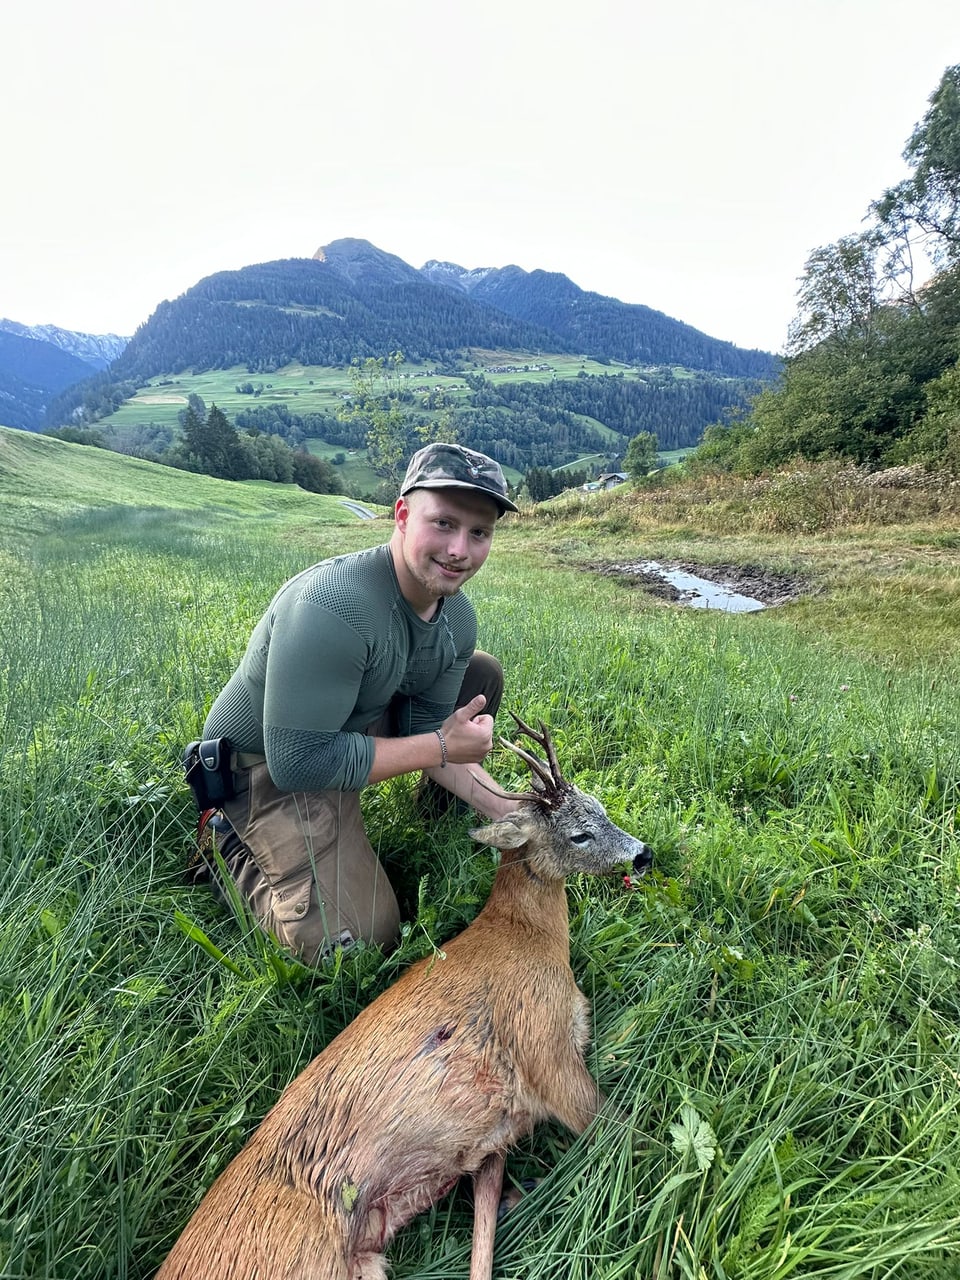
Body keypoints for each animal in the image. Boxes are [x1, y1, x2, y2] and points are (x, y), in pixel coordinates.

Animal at [158, 716, 655, 1280]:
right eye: (579, 833)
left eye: (601, 807)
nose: (644, 853)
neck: (526, 934)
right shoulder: (541, 1044)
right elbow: (632, 1135)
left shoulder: (504, 1128)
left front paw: (515, 1196)